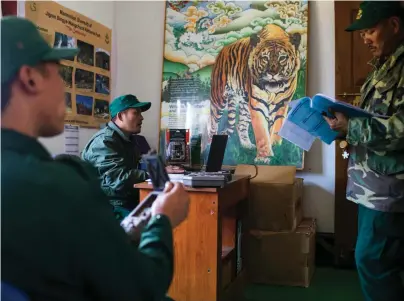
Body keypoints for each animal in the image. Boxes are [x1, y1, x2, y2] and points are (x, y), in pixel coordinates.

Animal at [208, 24, 300, 163]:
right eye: (265, 58)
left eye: (282, 58)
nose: (272, 73)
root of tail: (222, 51)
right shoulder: (257, 105)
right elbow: (262, 133)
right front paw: (264, 157)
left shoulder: (282, 105)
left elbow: (276, 128)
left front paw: (275, 147)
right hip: (218, 98)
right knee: (212, 123)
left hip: (245, 104)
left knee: (240, 124)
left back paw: (247, 145)